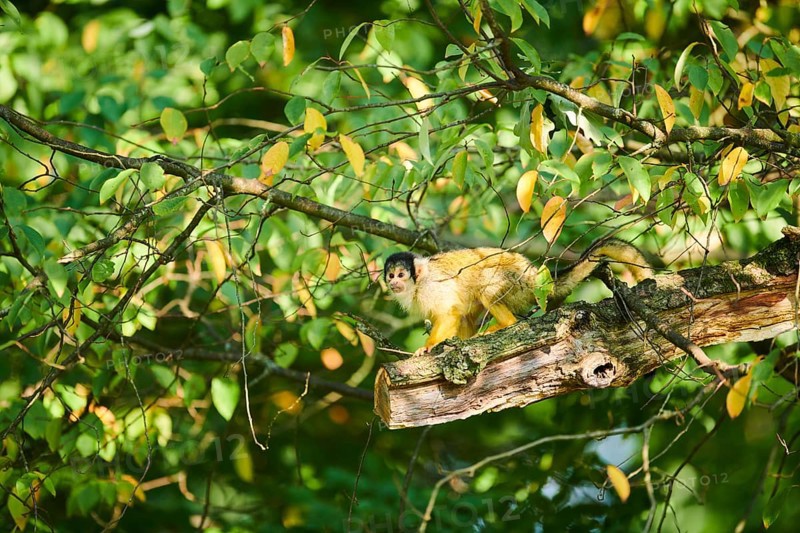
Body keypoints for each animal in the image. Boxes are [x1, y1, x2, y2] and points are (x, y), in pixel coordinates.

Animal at [383, 239, 652, 355]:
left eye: (401, 274)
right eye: (390, 275)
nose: (394, 282)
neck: (417, 285)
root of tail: (536, 276)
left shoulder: (431, 287)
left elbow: (450, 312)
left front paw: (427, 348)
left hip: (517, 283)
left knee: (486, 285)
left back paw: (505, 324)